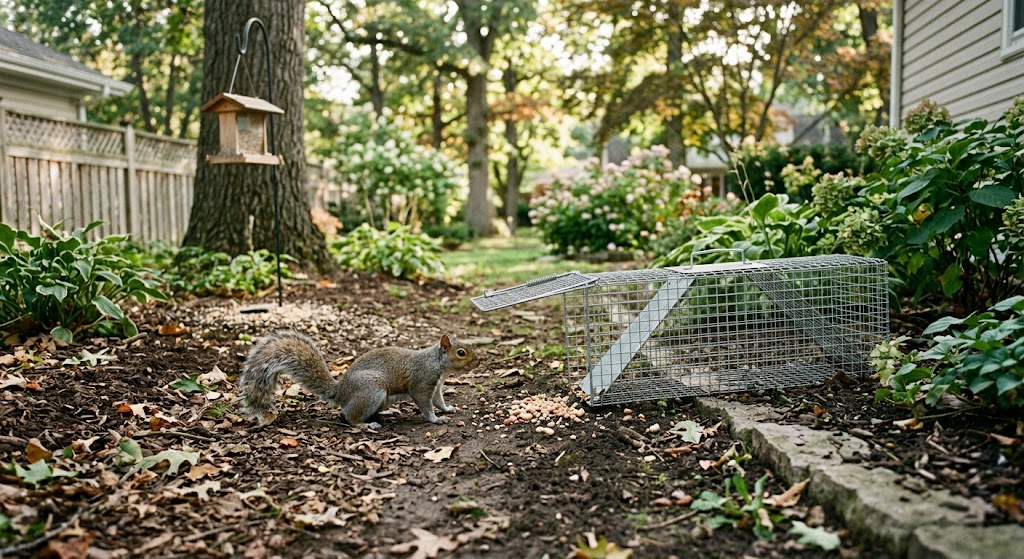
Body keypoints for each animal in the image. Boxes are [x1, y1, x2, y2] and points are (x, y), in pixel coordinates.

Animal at [238, 330, 479, 428]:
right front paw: (436, 419)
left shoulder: (436, 387)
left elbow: (439, 401)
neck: (437, 364)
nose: (478, 362)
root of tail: (341, 392)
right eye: (461, 353)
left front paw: (448, 410)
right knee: (349, 416)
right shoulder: (422, 383)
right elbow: (425, 405)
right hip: (372, 389)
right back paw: (366, 425)